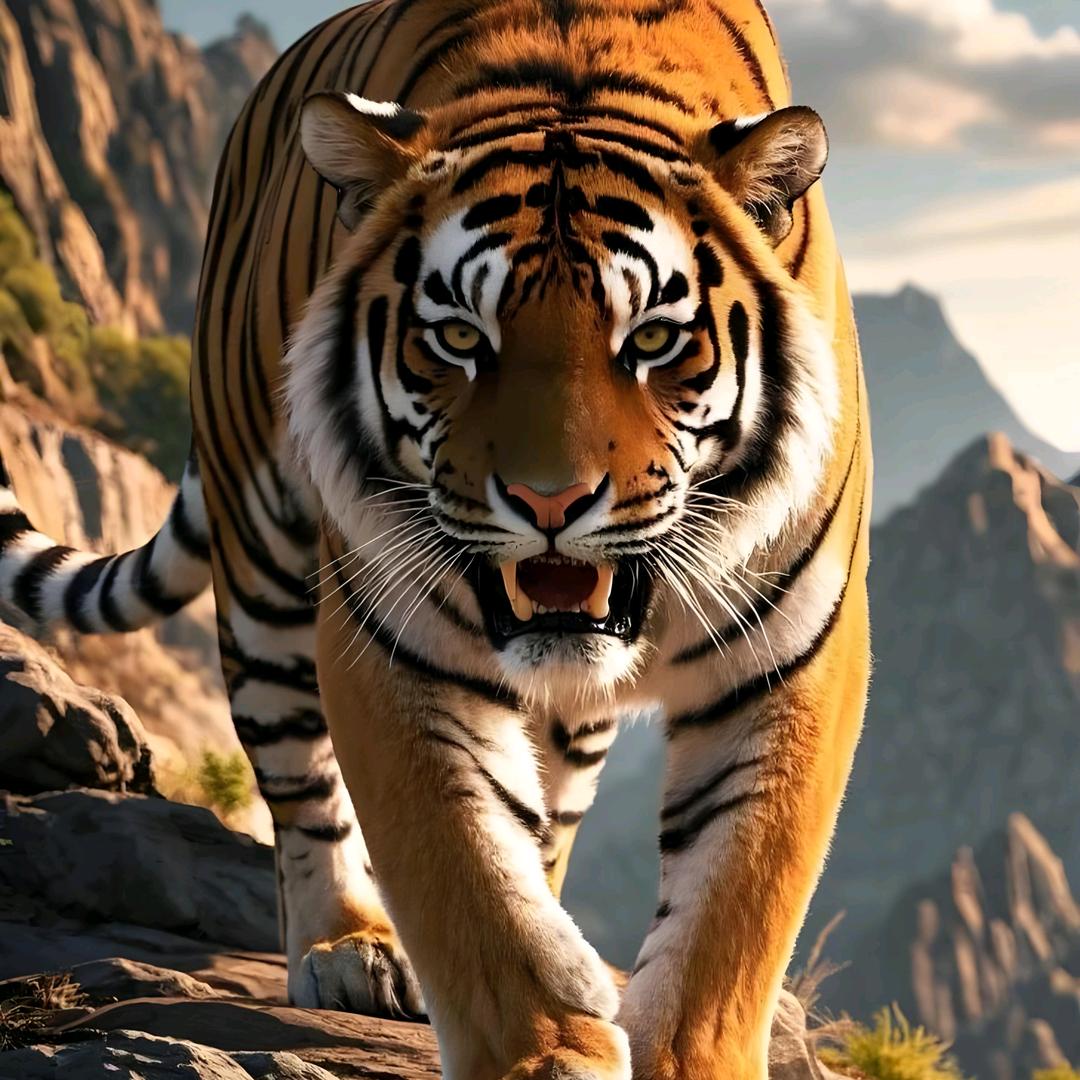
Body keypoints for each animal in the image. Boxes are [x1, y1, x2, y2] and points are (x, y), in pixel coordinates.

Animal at [0, 0, 872, 1075]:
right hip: (262, 553)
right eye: (459, 338)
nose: (550, 502)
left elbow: (732, 917)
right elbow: (467, 877)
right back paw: (348, 949)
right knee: (299, 780)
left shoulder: (791, 655)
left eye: (654, 341)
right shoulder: (392, 637)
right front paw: (543, 1046)